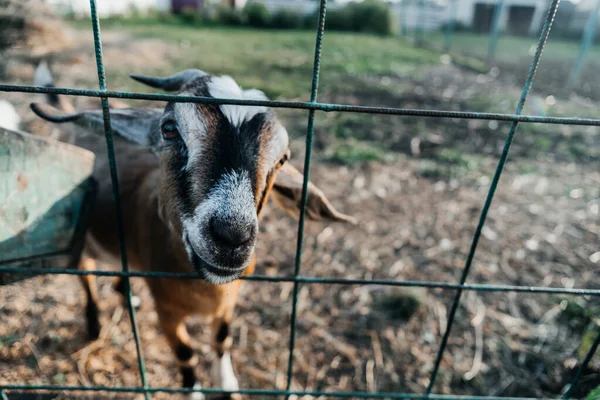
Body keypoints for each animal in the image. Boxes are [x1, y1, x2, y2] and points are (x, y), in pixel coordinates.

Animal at [29, 64, 356, 398]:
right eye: (169, 129)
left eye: (283, 159)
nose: (232, 236)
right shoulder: (166, 311)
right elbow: (185, 354)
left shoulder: (228, 304)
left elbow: (222, 340)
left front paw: (228, 386)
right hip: (80, 237)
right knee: (85, 276)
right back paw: (94, 325)